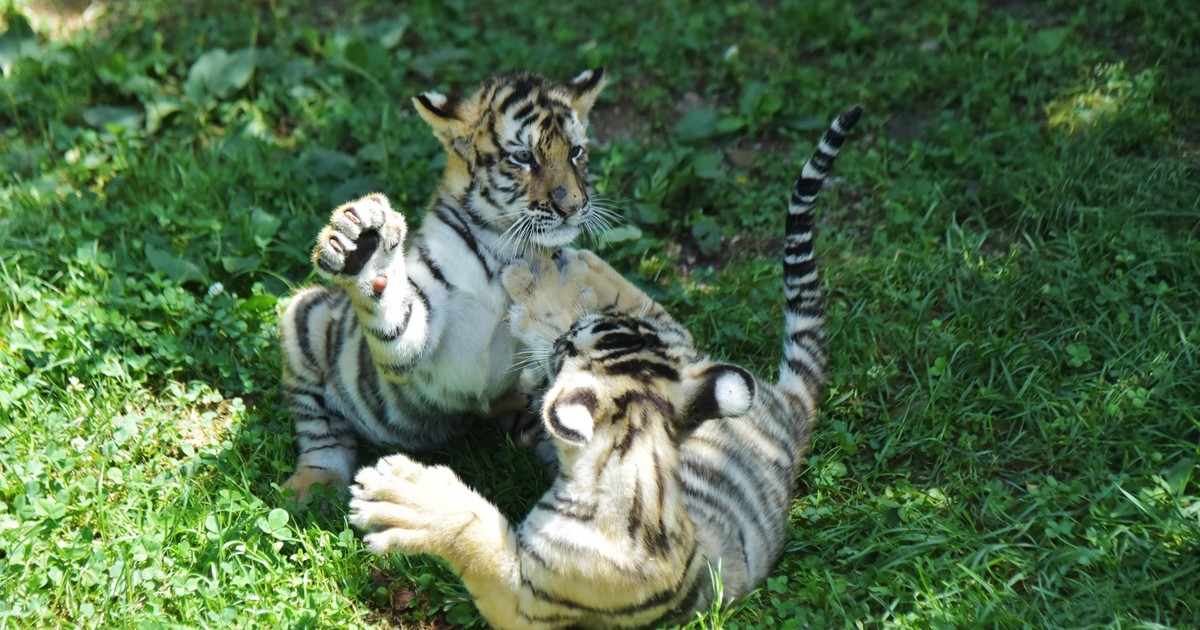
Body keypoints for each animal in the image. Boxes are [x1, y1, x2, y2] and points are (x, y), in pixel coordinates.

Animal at [277, 68, 609, 501]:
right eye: (524, 157)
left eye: (576, 153)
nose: (572, 206)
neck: (504, 248)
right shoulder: (419, 333)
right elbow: (396, 322)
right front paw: (367, 252)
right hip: (305, 320)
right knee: (321, 429)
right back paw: (312, 486)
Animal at [347, 106, 863, 628]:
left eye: (566, 351)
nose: (561, 340)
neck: (638, 461)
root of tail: (792, 411)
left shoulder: (527, 598)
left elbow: (475, 530)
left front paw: (397, 495)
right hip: (687, 356)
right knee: (660, 313)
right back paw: (557, 261)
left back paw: (538, 268)